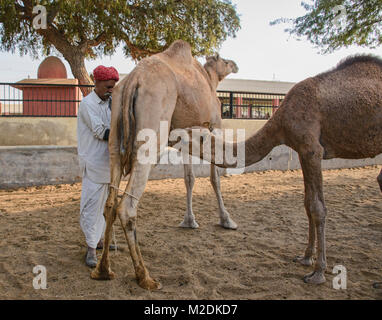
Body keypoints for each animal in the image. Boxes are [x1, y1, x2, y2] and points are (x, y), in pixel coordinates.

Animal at [90, 38, 239, 288]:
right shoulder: (215, 126)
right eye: (226, 60)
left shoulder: (188, 136)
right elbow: (214, 178)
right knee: (126, 206)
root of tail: (133, 80)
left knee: (110, 202)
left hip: (115, 138)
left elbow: (189, 178)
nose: (235, 64)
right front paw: (226, 220)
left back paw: (103, 270)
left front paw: (189, 221)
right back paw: (145, 277)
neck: (210, 80)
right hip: (153, 129)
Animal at [181, 53, 382, 286]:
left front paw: (318, 272)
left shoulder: (312, 149)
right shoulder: (302, 150)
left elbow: (318, 207)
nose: (175, 135)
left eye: (194, 136)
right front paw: (305, 257)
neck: (283, 120)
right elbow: (307, 204)